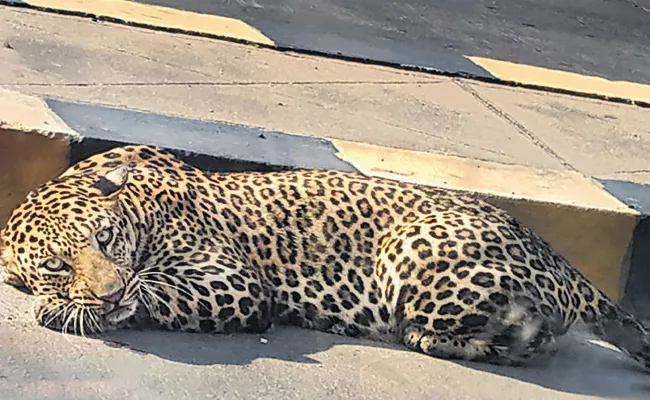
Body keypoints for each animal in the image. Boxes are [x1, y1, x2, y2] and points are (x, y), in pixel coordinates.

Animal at [0, 145, 644, 368]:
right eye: (56, 265)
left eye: (106, 238)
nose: (108, 292)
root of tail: (560, 261)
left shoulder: (233, 283)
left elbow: (155, 291)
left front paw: (74, 311)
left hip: (413, 251)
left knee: (533, 339)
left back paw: (436, 339)